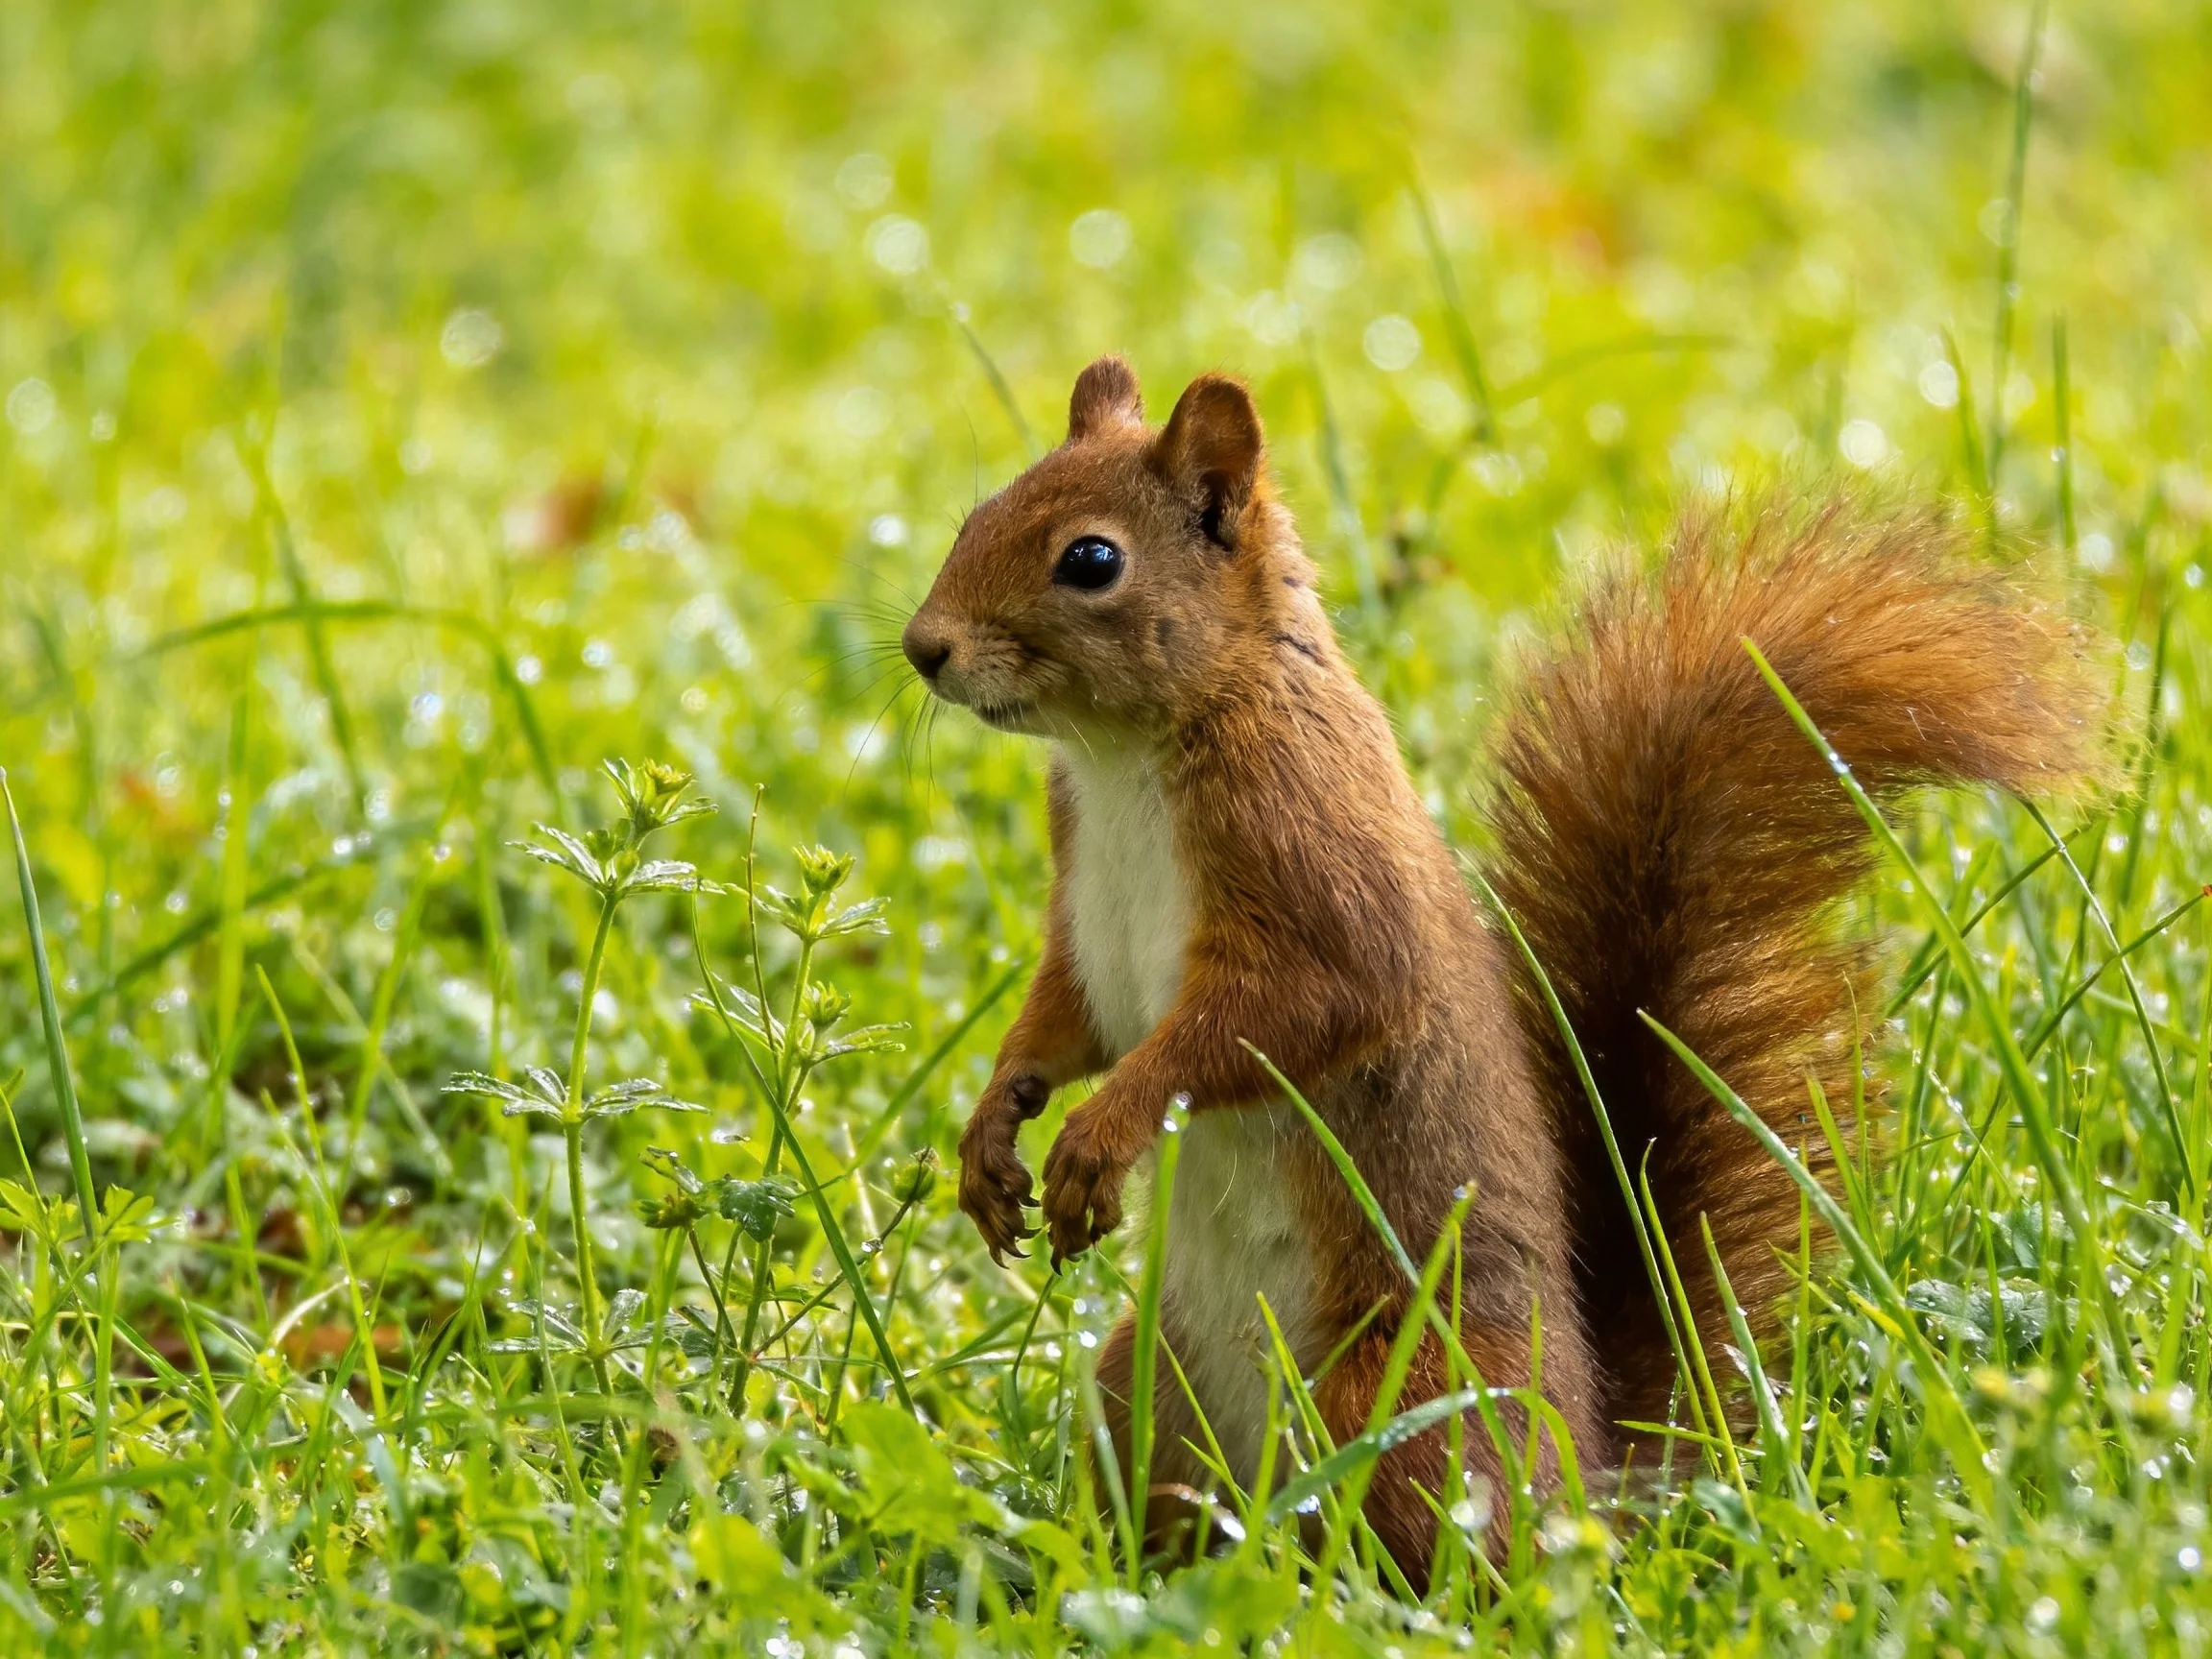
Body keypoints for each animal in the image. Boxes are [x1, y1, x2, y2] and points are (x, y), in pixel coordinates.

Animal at [900, 355, 2108, 1581]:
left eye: (1091, 561)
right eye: (977, 513)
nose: (923, 648)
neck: (1127, 755)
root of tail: (1594, 1473)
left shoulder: (1312, 860)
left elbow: (1279, 1017)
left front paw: (1101, 1139)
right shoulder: (1086, 925)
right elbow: (1065, 1026)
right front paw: (992, 1135)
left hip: (1406, 1405)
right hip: (1140, 1390)